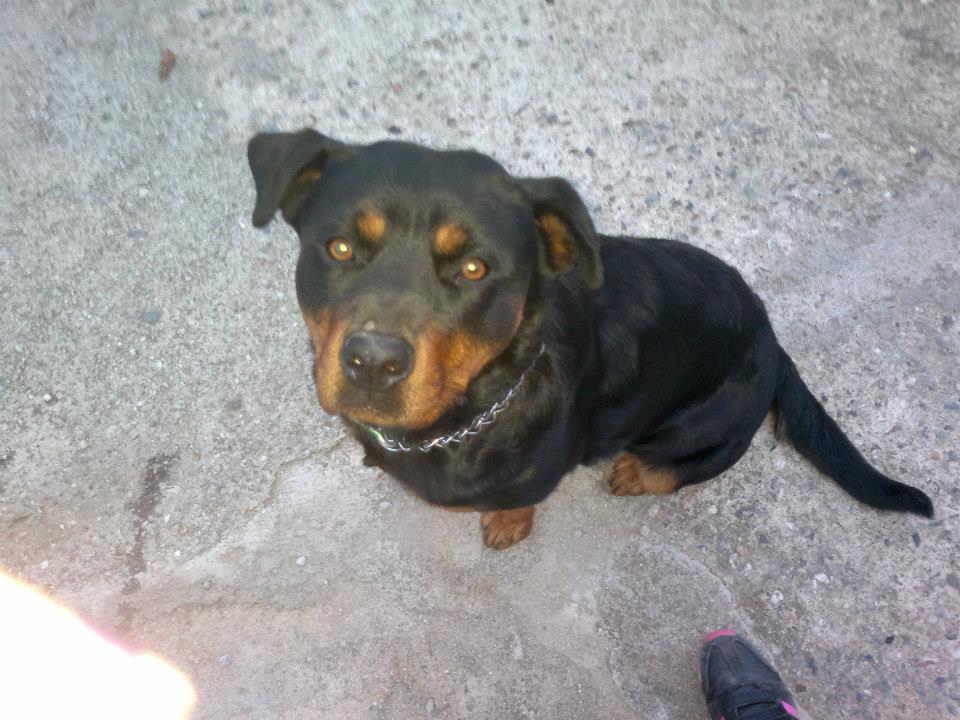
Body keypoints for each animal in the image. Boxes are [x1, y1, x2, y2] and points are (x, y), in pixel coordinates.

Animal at [246, 129, 933, 549]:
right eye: (339, 248)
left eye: (474, 268)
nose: (373, 362)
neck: (473, 404)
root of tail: (772, 340)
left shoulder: (535, 474)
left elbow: (521, 500)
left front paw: (507, 525)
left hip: (712, 424)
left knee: (689, 464)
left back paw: (637, 471)